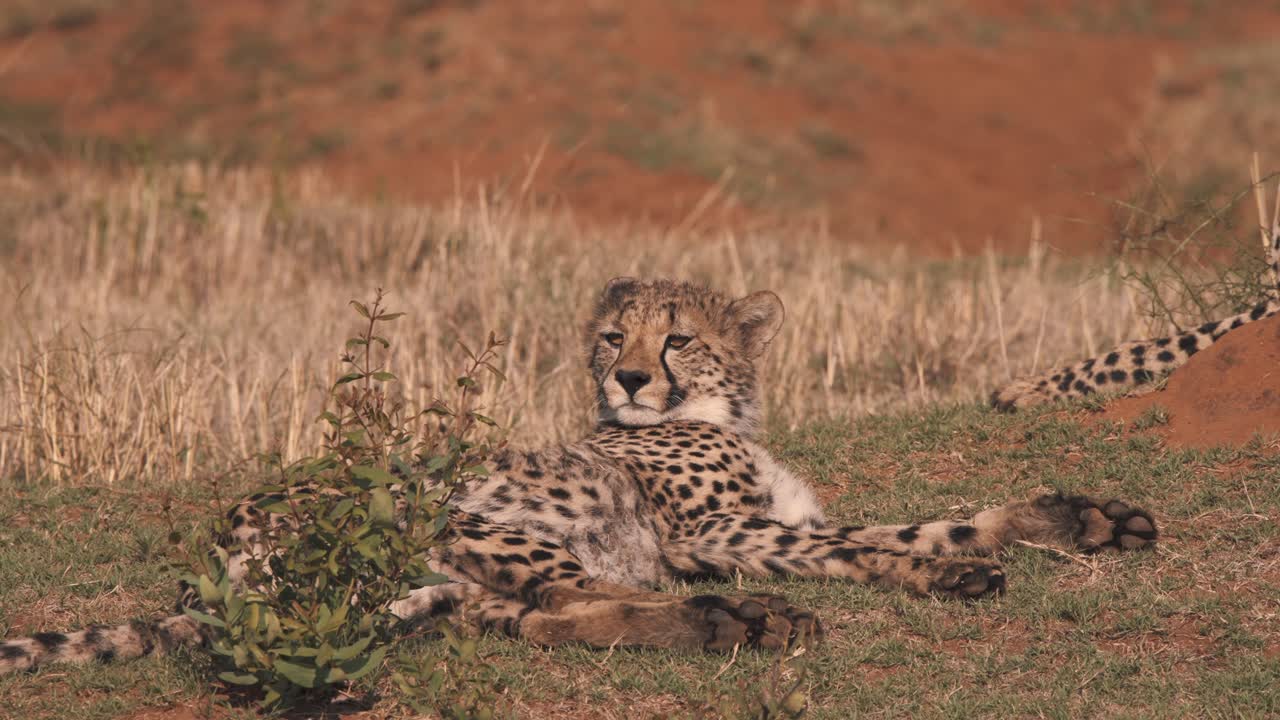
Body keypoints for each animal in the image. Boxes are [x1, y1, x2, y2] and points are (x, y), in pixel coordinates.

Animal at [0, 277, 1158, 674]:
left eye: (678, 337)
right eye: (613, 336)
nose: (631, 378)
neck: (722, 412)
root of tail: (211, 562)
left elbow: (925, 523)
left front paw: (1074, 519)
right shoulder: (709, 535)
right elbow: (863, 547)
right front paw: (949, 574)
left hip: (442, 592)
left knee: (544, 621)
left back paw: (723, 625)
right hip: (461, 516)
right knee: (573, 595)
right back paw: (743, 617)